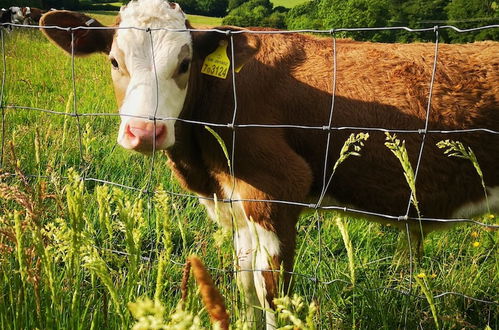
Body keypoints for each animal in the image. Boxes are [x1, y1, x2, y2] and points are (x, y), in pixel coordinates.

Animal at [40, 0, 499, 328]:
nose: (143, 131)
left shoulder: (276, 191)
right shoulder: (235, 201)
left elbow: (272, 293)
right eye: (114, 61)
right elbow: (244, 282)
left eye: (184, 64)